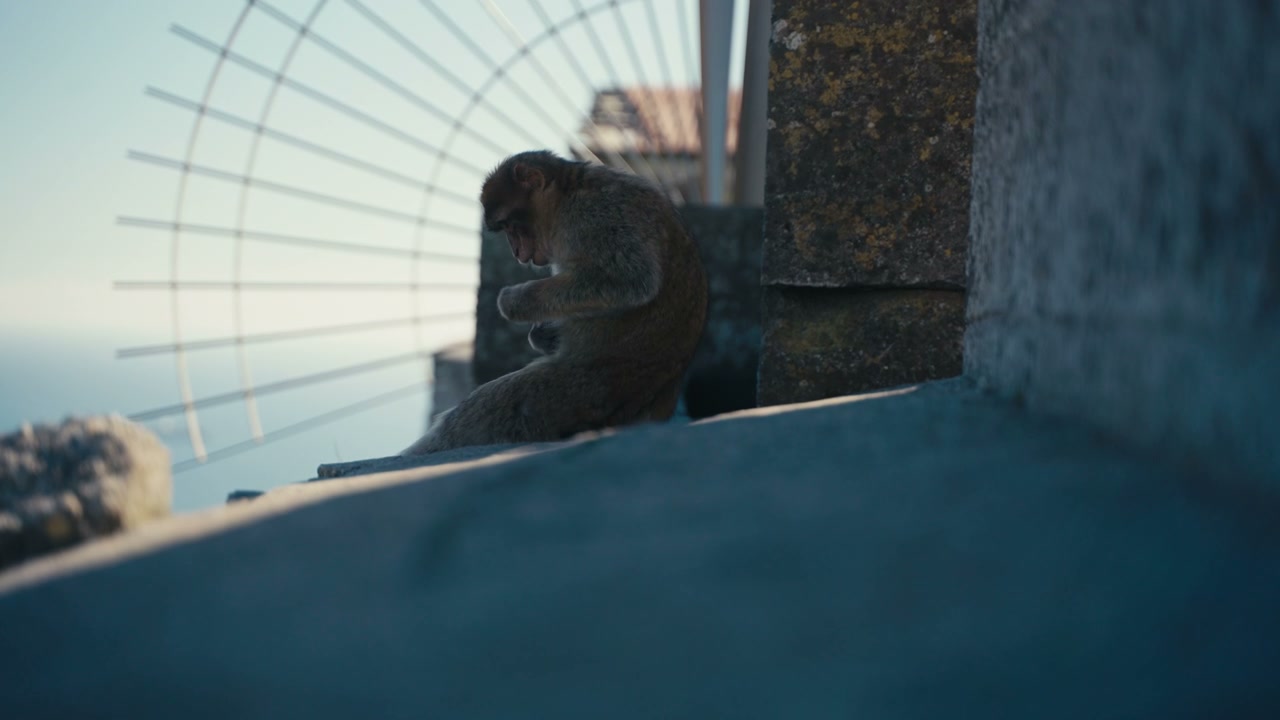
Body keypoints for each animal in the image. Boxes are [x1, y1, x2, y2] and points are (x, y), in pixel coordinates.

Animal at [401, 150, 708, 455]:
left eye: (511, 226)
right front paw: (543, 332)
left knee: (504, 405)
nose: (516, 252)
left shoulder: (594, 214)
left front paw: (515, 301)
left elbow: (631, 280)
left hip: (584, 392)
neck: (566, 196)